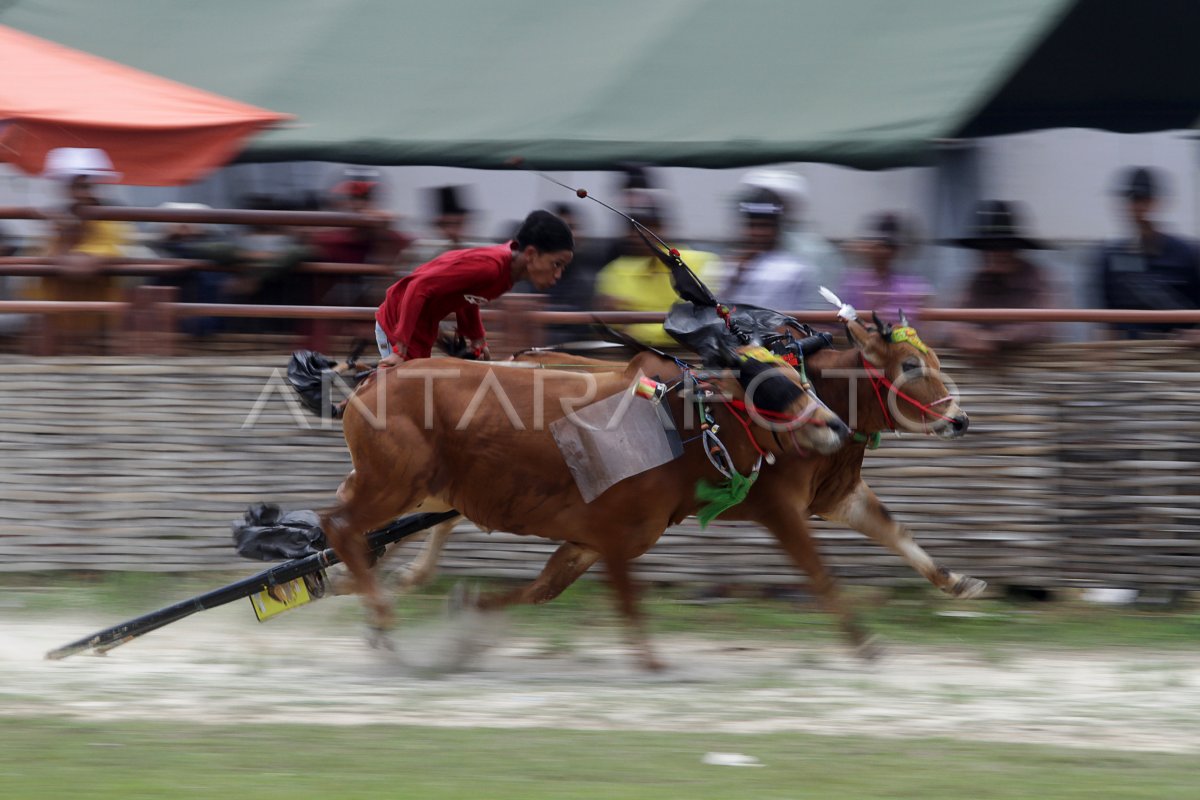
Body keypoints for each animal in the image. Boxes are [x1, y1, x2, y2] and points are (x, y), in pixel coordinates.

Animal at [314, 347, 849, 666]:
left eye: (801, 381)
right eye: (775, 387)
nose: (837, 426)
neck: (678, 425)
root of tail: (375, 378)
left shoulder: (588, 543)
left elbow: (543, 589)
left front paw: (471, 609)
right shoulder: (613, 538)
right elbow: (628, 602)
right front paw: (652, 662)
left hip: (419, 487)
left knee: (352, 525)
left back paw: (359, 589)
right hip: (394, 485)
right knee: (338, 524)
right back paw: (381, 616)